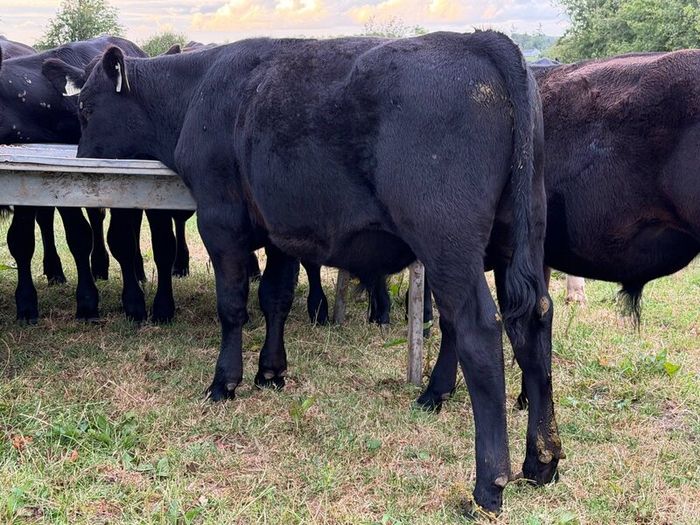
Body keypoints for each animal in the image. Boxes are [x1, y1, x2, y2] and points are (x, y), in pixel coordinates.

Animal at [65, 30, 560, 514]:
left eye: (86, 107)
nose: (81, 157)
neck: (196, 90)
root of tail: (483, 42)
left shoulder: (220, 220)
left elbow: (233, 306)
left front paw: (225, 381)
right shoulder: (282, 230)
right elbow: (275, 298)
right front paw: (271, 372)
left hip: (446, 240)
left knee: (477, 329)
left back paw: (488, 486)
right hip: (517, 235)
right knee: (533, 320)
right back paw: (541, 461)